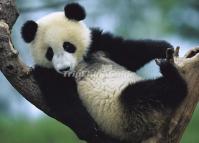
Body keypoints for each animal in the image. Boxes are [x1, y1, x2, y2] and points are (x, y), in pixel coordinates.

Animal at [20, 2, 187, 143]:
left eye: (67, 46)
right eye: (49, 53)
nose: (64, 69)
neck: (78, 65)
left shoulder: (97, 43)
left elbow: (128, 52)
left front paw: (163, 47)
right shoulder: (47, 73)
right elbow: (63, 99)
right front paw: (87, 127)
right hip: (129, 114)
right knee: (149, 93)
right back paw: (171, 76)